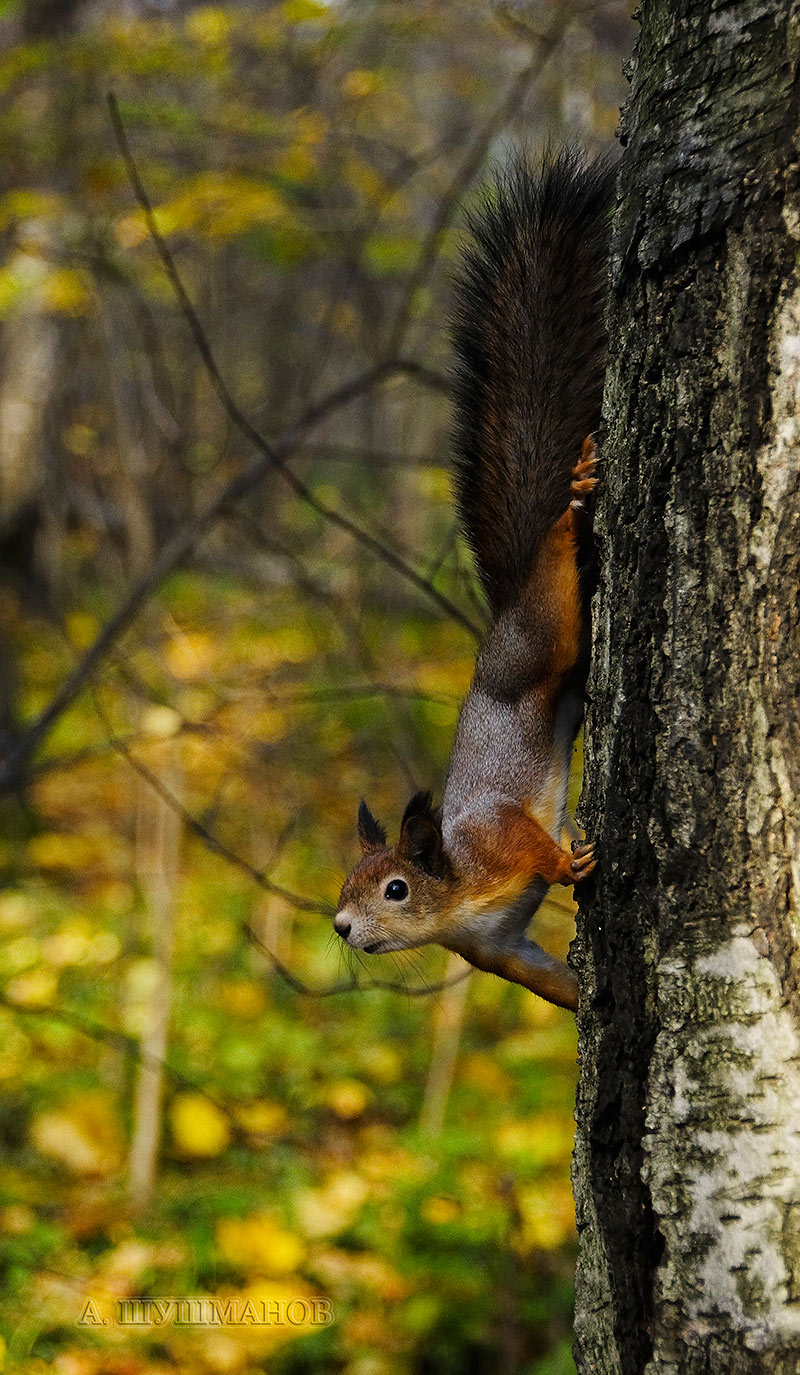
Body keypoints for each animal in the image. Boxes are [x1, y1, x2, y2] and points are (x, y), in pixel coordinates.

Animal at [331, 150, 615, 1012]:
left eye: (394, 887)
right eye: (345, 883)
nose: (340, 927)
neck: (454, 897)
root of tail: (503, 616)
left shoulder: (494, 834)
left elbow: (525, 835)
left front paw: (566, 862)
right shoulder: (496, 948)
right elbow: (540, 974)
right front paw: (577, 1004)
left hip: (542, 633)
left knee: (555, 568)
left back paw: (571, 502)